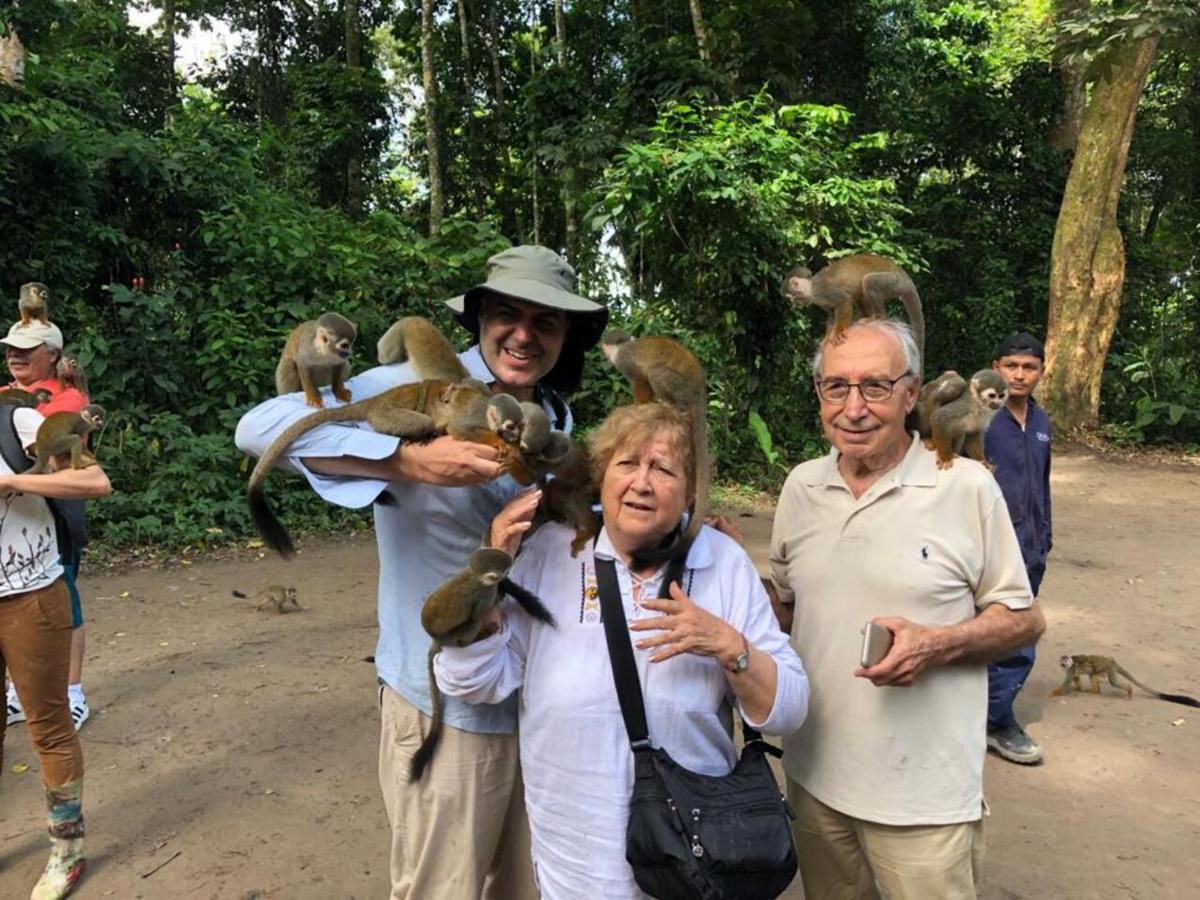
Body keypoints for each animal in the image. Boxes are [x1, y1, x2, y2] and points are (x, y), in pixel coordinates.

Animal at [247, 379, 525, 556]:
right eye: (510, 427)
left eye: (522, 427)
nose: (516, 437)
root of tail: (375, 401)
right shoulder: (473, 419)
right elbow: (461, 430)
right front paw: (499, 443)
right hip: (386, 415)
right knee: (421, 420)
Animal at [412, 549, 556, 782]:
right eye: (505, 570)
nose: (508, 575)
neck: (474, 576)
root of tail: (438, 640)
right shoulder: (483, 595)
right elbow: (481, 610)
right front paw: (499, 595)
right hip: (455, 635)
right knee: (473, 622)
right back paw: (480, 635)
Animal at [597, 336, 700, 566]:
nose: (605, 354)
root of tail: (699, 389)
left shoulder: (624, 360)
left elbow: (640, 379)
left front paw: (640, 404)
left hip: (680, 386)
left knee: (655, 372)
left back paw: (672, 404)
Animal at [777, 254, 926, 362]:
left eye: (790, 298)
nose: (793, 305)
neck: (811, 289)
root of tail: (906, 278)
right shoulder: (821, 300)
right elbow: (832, 315)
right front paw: (827, 338)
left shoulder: (823, 290)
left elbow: (844, 301)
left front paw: (838, 332)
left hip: (894, 282)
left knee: (869, 281)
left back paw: (878, 316)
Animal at [1051, 657, 1200, 710]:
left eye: (1065, 661)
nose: (1062, 663)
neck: (1068, 666)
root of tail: (1112, 661)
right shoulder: (1070, 670)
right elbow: (1076, 678)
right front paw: (1078, 688)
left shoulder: (1070, 669)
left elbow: (1066, 684)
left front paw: (1052, 694)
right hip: (1104, 669)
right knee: (1093, 674)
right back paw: (1095, 690)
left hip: (1109, 669)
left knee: (1113, 682)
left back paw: (1129, 690)